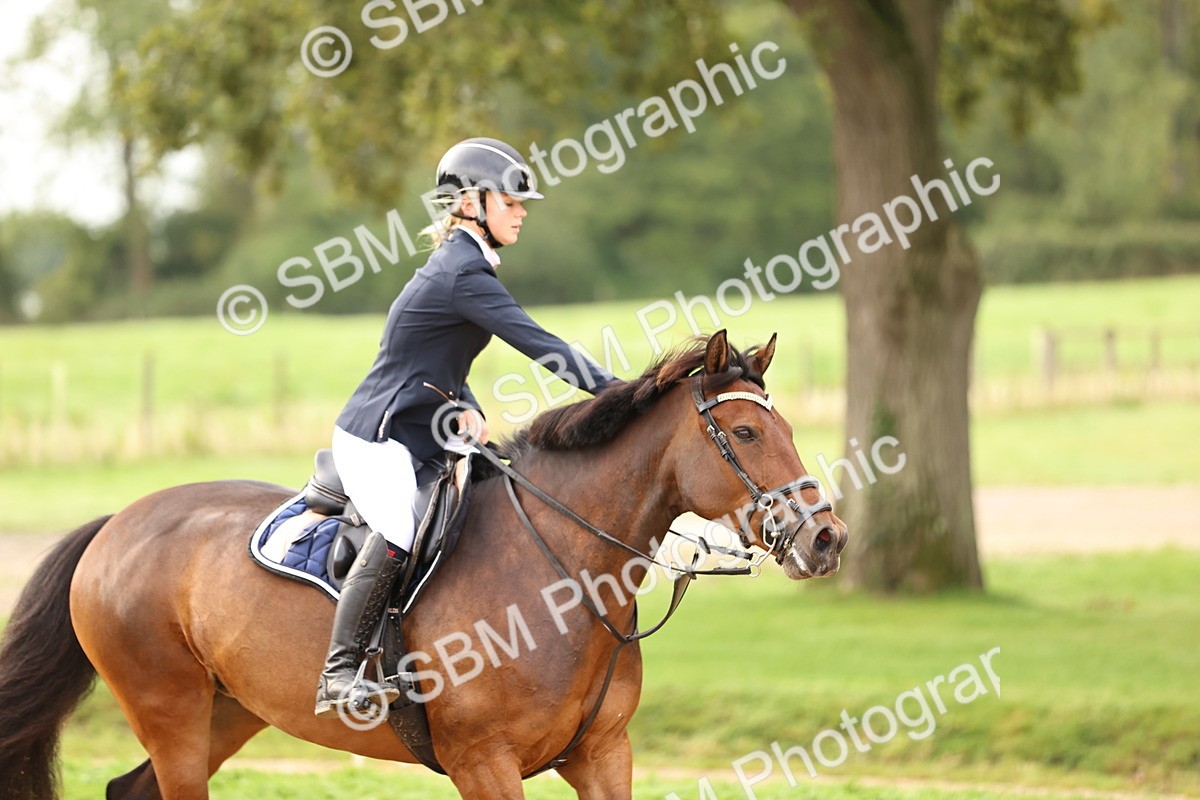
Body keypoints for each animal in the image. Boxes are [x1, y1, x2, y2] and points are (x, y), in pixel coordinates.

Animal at [0, 330, 847, 800]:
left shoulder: (603, 755)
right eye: (744, 433)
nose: (828, 538)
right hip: (169, 709)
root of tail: (117, 523)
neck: (561, 572)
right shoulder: (484, 763)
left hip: (226, 710)